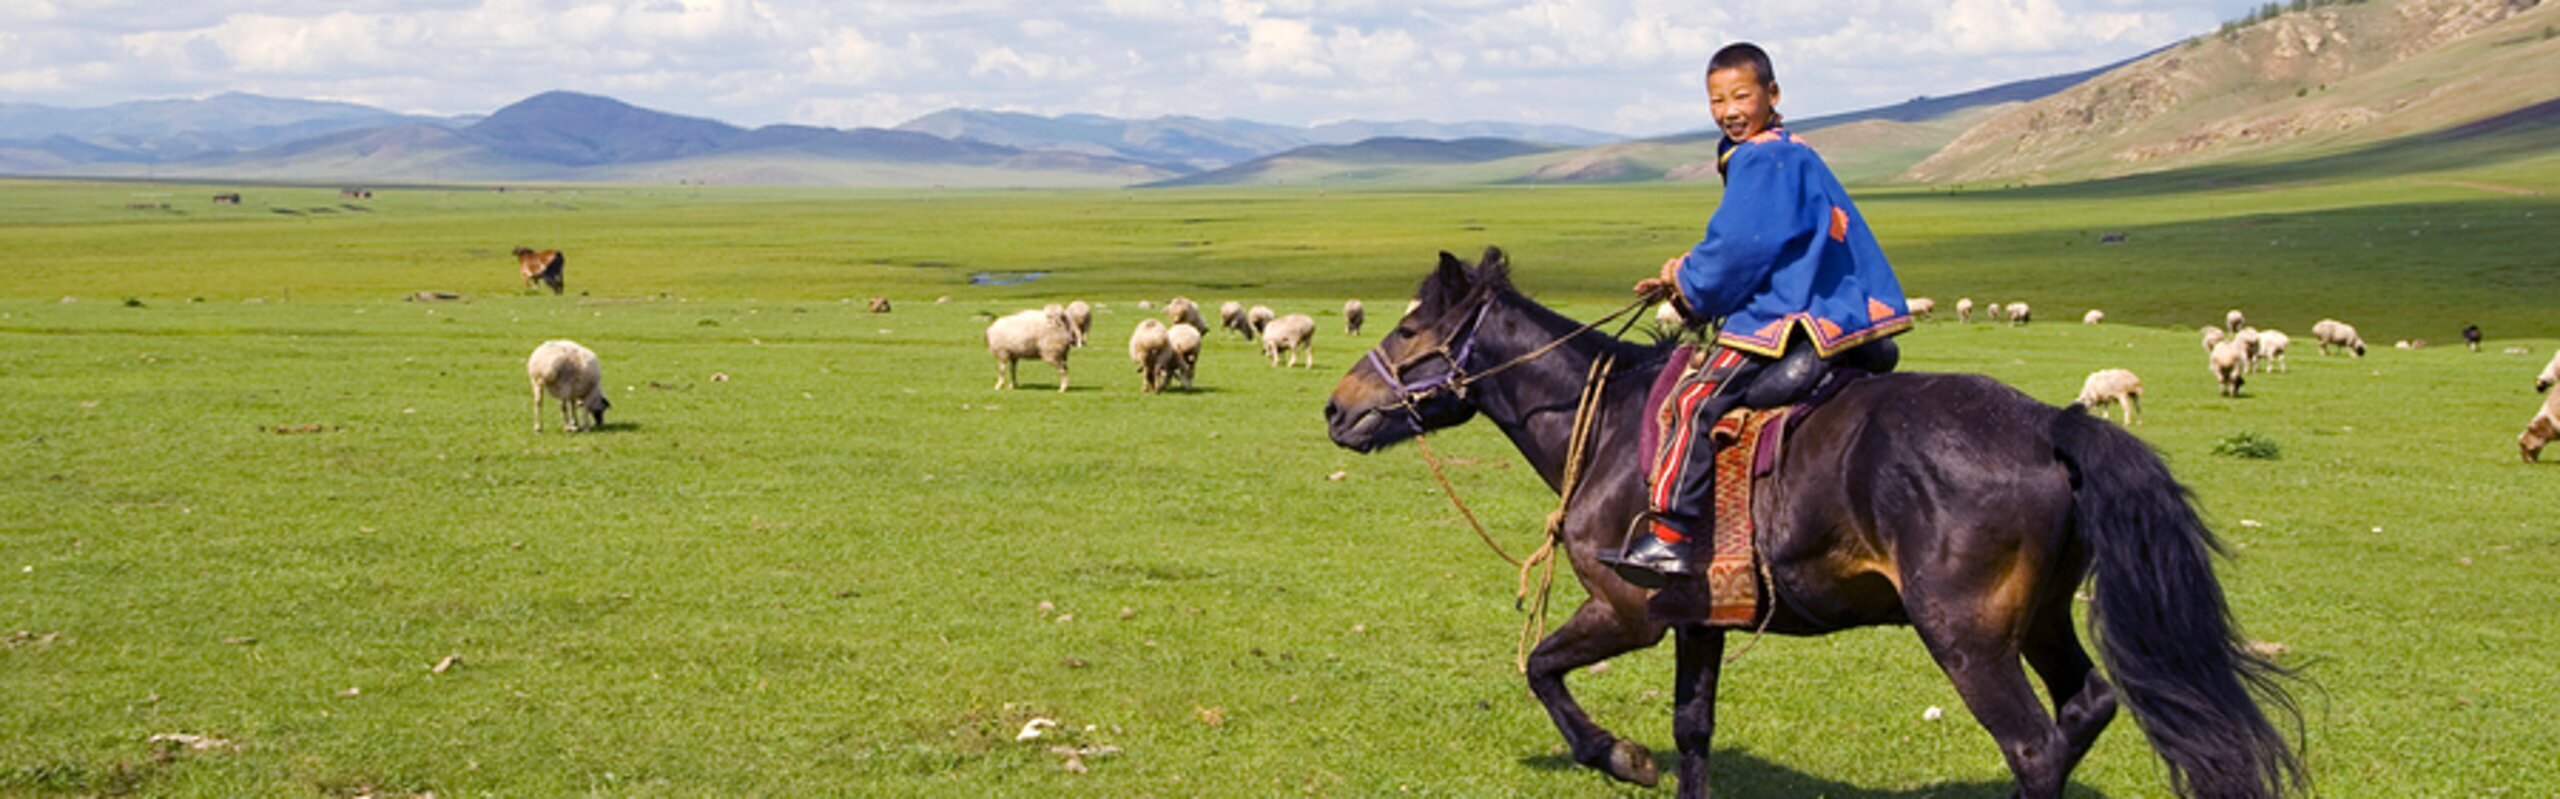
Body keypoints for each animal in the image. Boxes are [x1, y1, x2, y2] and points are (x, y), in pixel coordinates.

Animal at [1320, 249, 2304, 799]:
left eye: (1410, 330)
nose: (1336, 408)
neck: (1607, 426)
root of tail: (2047, 422)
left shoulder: (1628, 611)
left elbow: (1543, 670)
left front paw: (1621, 757)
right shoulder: (1698, 620)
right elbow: (1693, 727)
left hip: (1967, 634)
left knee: (2032, 746)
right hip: (2041, 617)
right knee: (2085, 705)